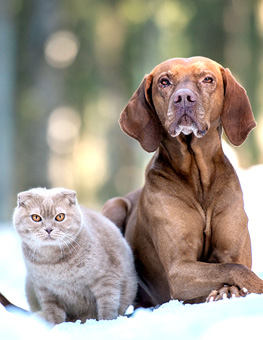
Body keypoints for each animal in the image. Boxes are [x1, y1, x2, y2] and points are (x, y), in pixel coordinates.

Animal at [13, 189, 138, 324]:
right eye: (36, 217)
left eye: (60, 217)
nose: (48, 229)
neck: (52, 263)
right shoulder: (45, 291)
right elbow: (53, 314)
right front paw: (56, 326)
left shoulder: (106, 279)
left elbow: (107, 306)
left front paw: (104, 323)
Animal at [103, 57, 263, 306]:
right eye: (164, 81)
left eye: (208, 79)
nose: (184, 98)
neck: (198, 178)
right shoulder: (179, 269)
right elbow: (234, 269)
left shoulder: (234, 253)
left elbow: (234, 267)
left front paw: (227, 292)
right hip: (114, 206)